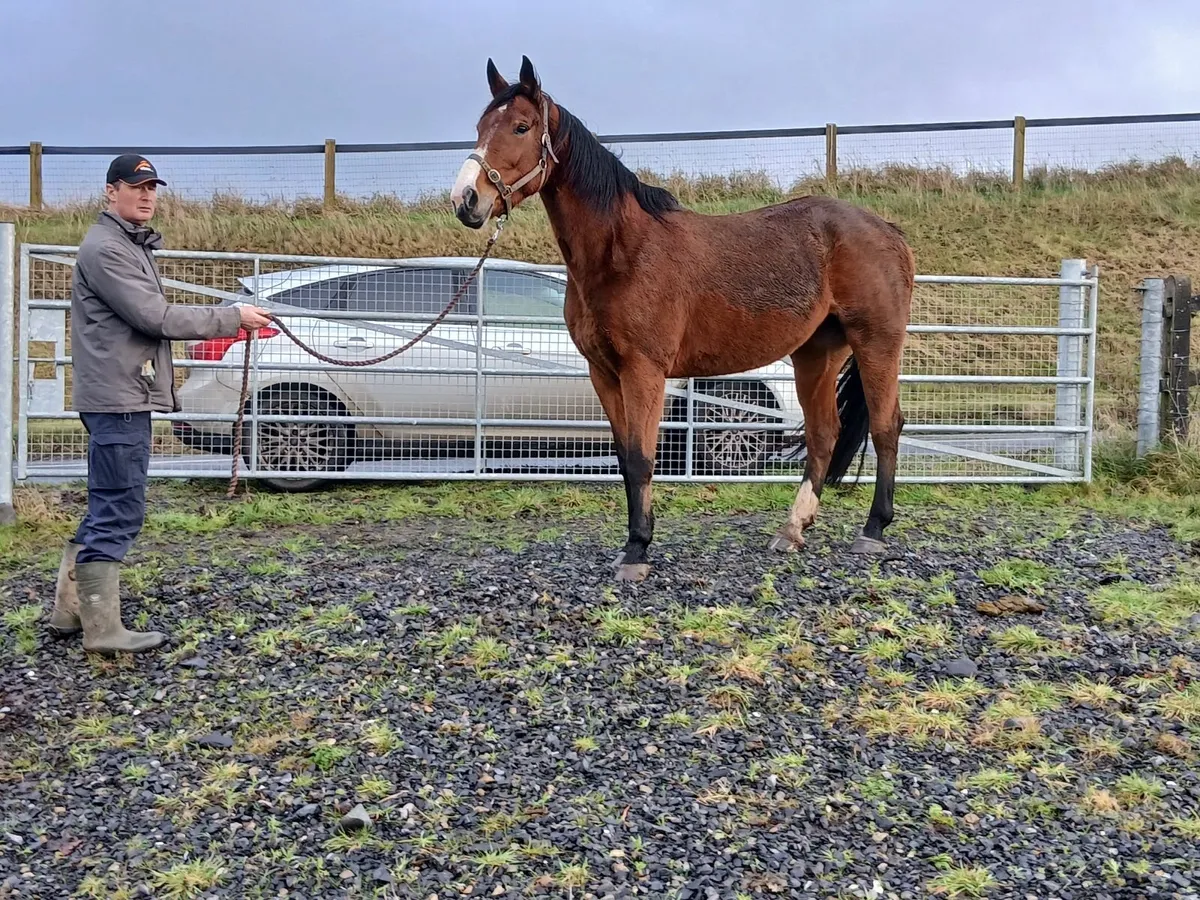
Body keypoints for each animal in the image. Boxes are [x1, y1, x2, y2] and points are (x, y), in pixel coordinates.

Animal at [450, 56, 915, 583]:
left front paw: (637, 551)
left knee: (886, 428)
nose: (466, 199)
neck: (623, 251)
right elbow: (625, 458)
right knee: (823, 435)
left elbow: (641, 457)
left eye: (521, 127)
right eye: (480, 127)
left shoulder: (644, 371)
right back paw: (792, 530)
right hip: (817, 354)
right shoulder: (604, 373)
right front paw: (633, 544)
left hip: (876, 343)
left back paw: (873, 531)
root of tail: (888, 231)